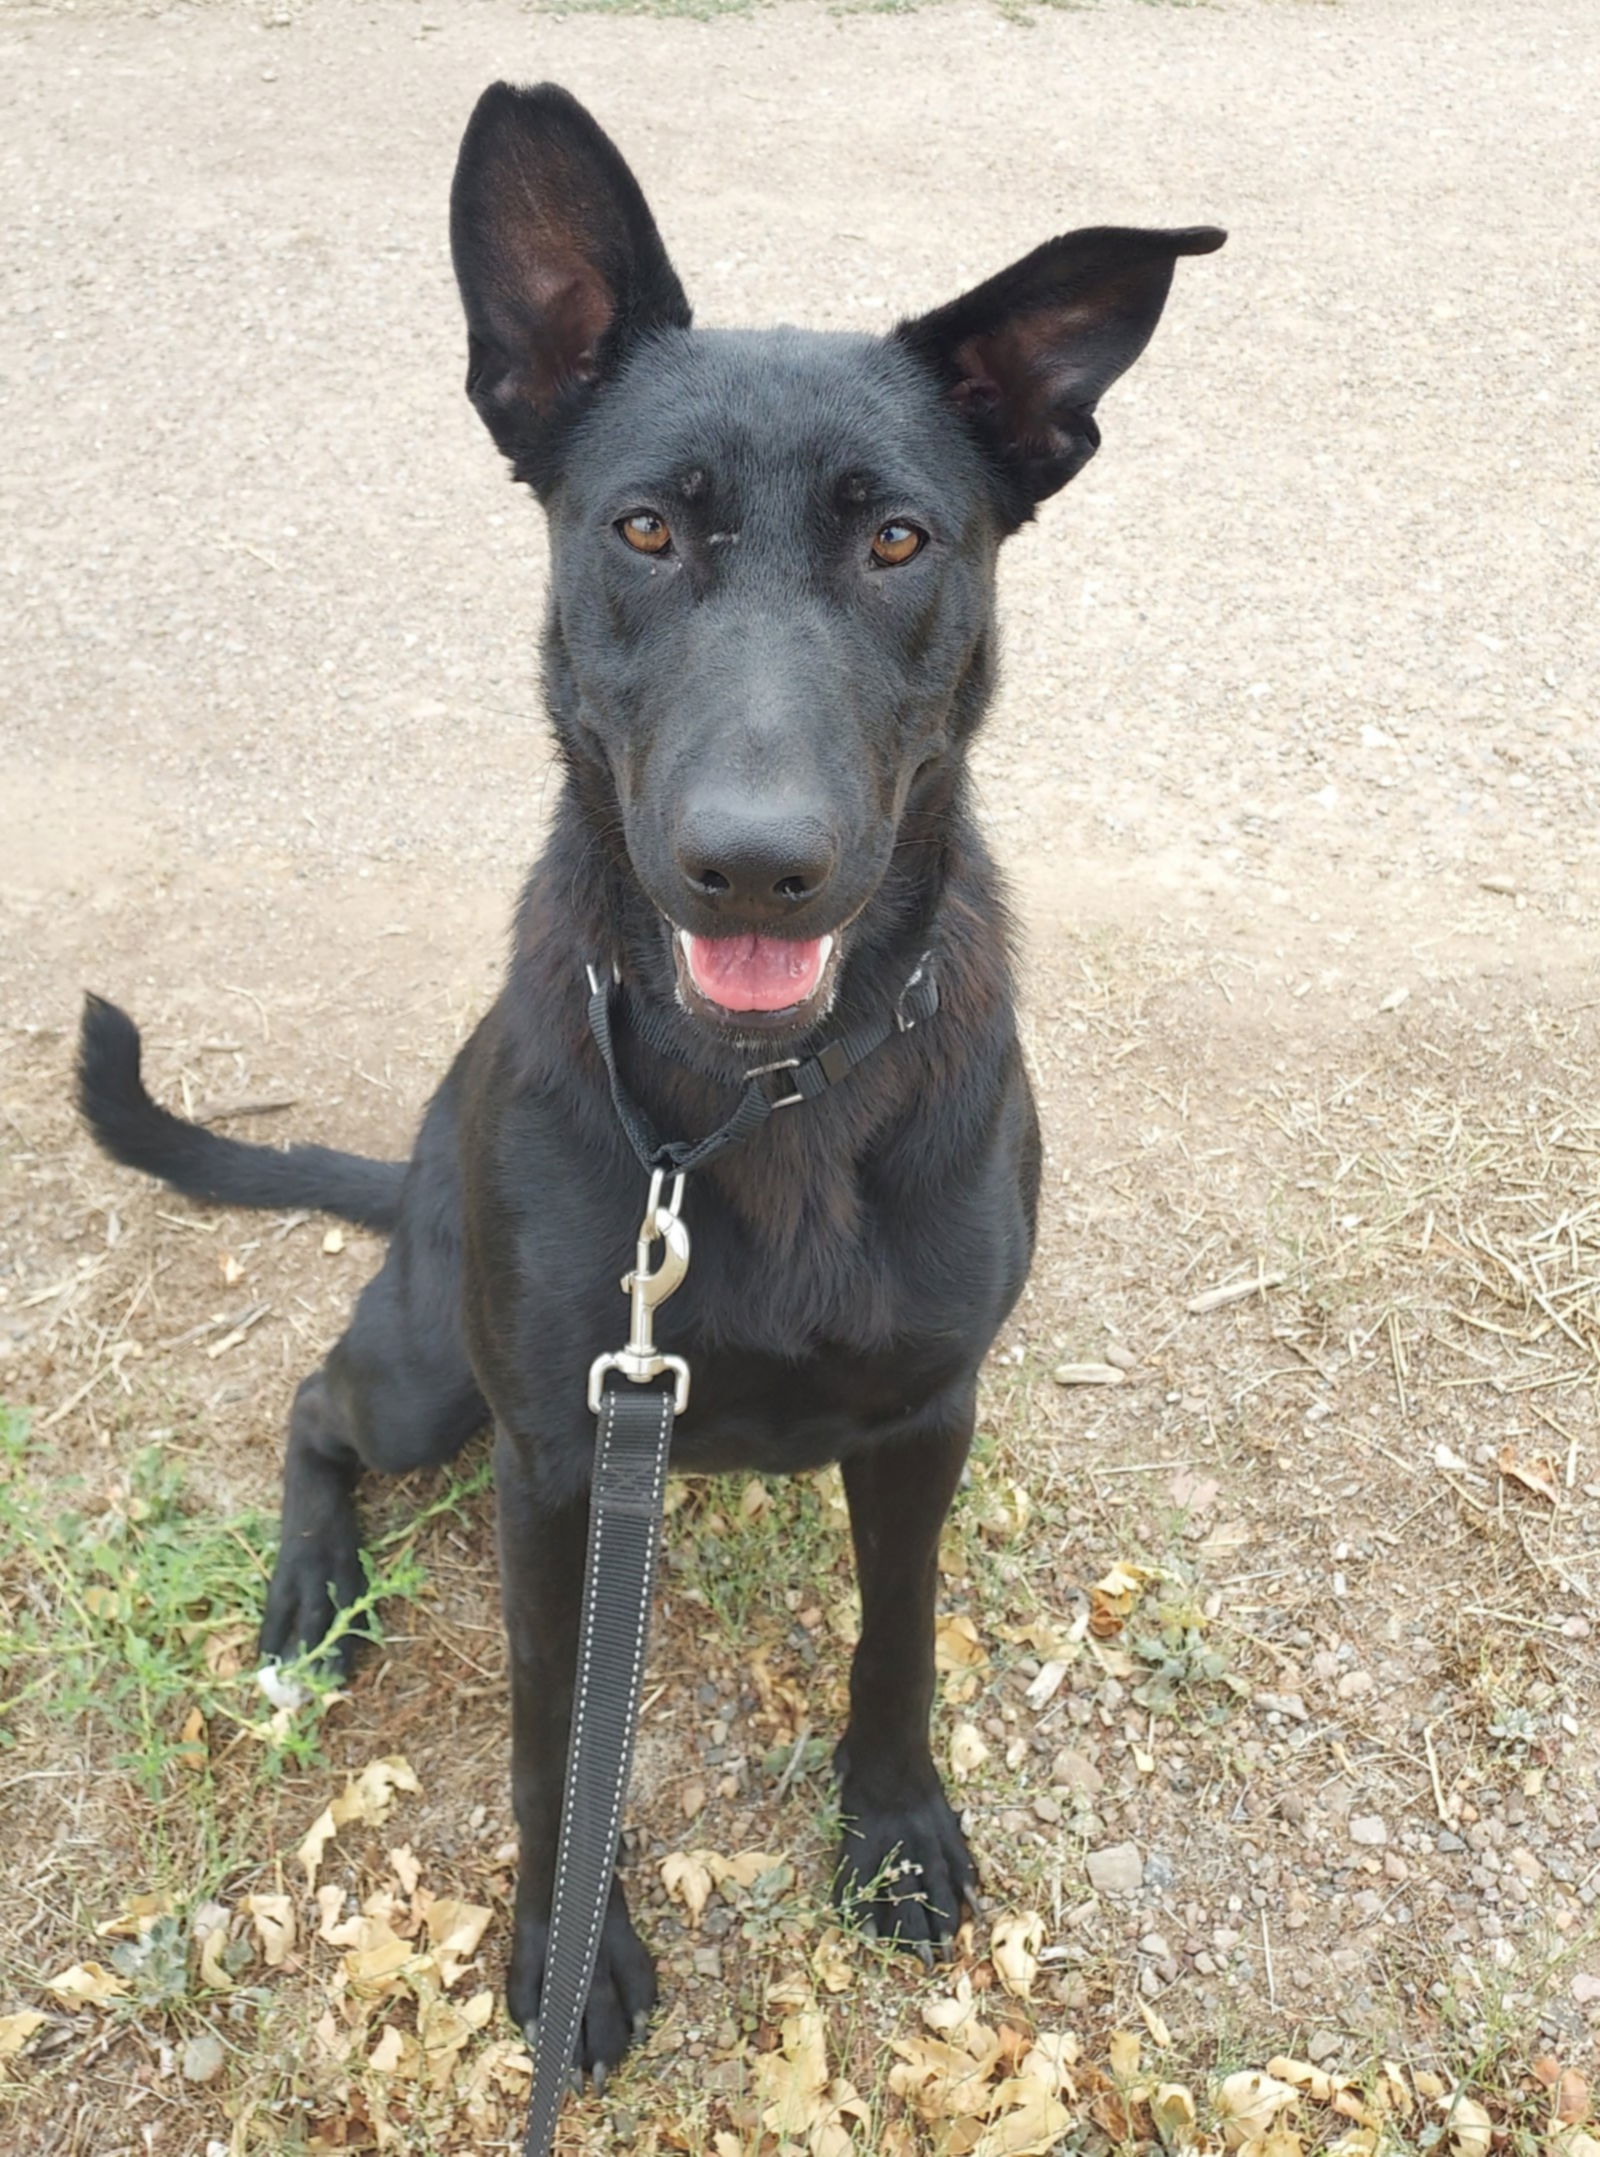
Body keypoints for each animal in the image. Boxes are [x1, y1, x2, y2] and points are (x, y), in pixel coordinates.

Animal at [75, 88, 1224, 2087]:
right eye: (642, 529)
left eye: (901, 540)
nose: (752, 866)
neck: (753, 1107)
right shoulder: (551, 1451)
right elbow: (556, 1724)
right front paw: (565, 1952)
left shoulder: (925, 1414)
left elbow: (897, 1637)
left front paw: (892, 1826)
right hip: (428, 1370)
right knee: (313, 1402)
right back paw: (309, 1596)